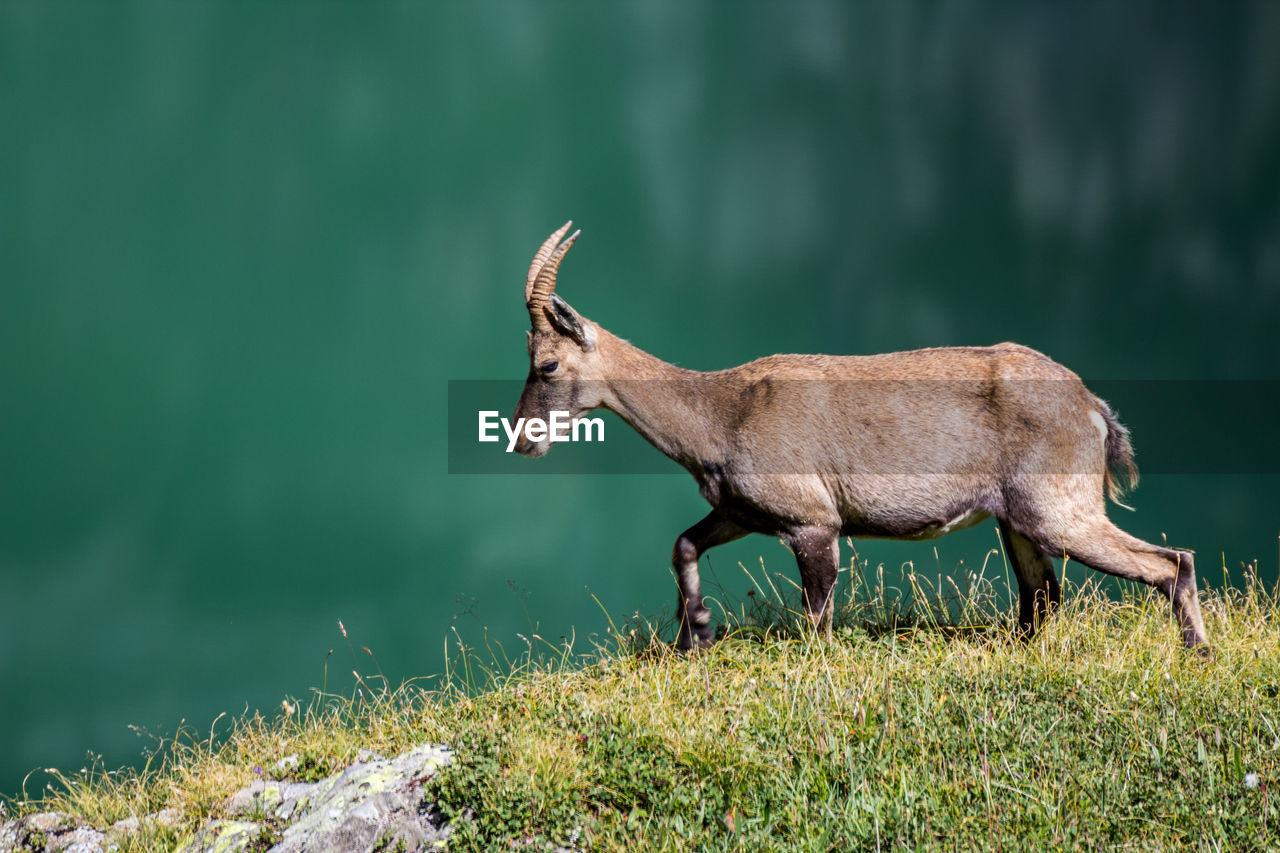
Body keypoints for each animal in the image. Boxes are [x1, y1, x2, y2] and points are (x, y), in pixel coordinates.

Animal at [509, 220, 1208, 650]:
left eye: (547, 365)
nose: (521, 440)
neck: (719, 414)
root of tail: (1092, 407)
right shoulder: (742, 511)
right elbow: (683, 544)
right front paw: (696, 631)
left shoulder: (812, 521)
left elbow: (817, 620)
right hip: (1020, 520)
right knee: (1043, 594)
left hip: (1059, 508)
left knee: (1170, 561)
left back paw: (1196, 651)